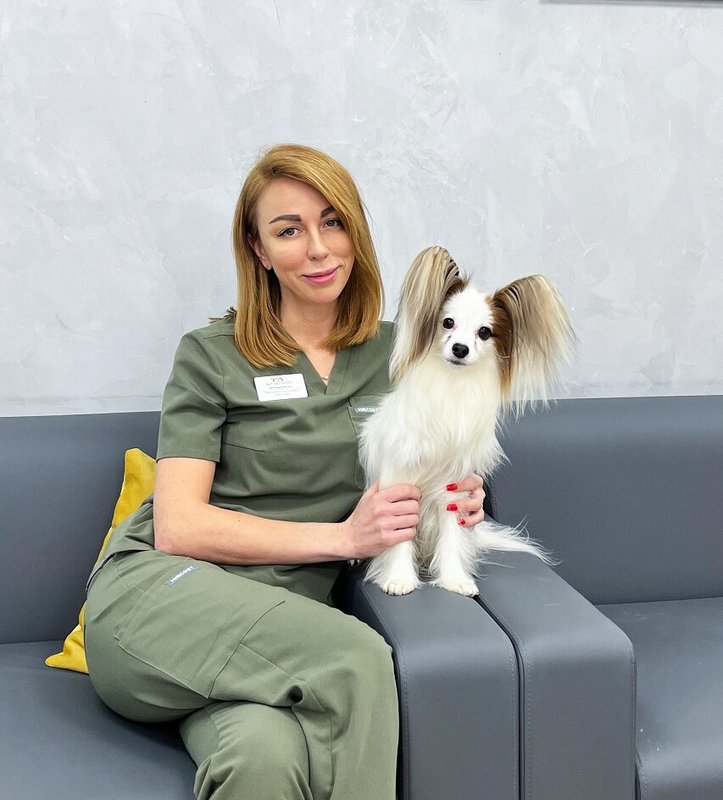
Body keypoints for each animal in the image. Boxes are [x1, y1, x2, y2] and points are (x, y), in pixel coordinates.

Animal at [360, 246, 574, 596]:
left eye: (484, 332)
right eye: (447, 322)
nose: (460, 348)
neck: (452, 386)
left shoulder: (455, 487)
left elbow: (452, 535)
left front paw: (454, 579)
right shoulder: (400, 480)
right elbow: (400, 535)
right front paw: (399, 578)